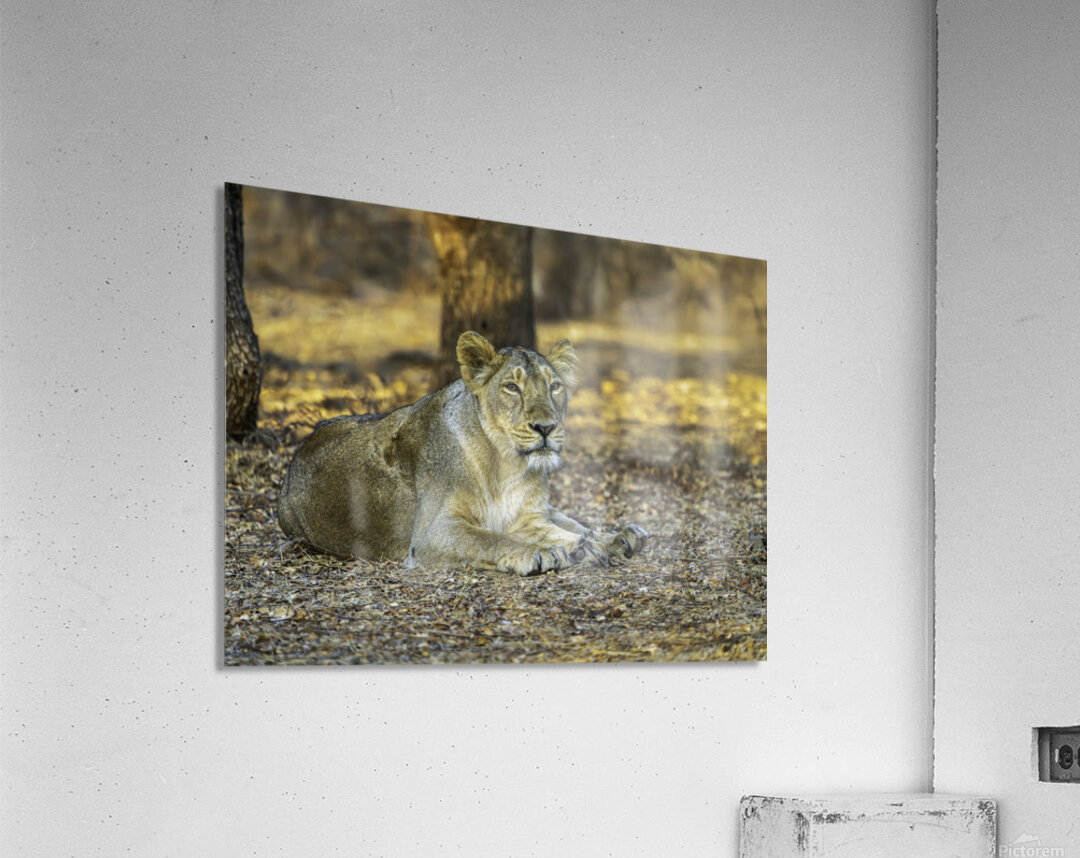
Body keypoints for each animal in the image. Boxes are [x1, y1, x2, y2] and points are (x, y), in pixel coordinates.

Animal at [277, 331, 648, 575]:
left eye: (555, 386)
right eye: (511, 387)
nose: (546, 427)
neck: (506, 466)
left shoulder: (530, 516)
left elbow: (562, 528)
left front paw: (598, 542)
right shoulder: (431, 534)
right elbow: (491, 538)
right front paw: (540, 552)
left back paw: (622, 537)